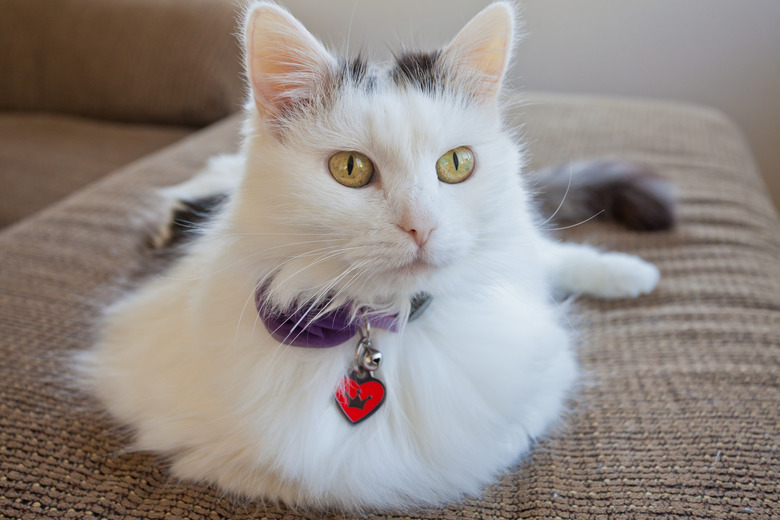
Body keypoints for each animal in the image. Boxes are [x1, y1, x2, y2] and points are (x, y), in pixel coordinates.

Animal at [77, 1, 676, 512]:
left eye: (456, 164)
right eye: (350, 169)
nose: (423, 226)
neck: (379, 319)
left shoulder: (538, 384)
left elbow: (507, 433)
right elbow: (307, 480)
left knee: (546, 255)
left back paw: (632, 273)